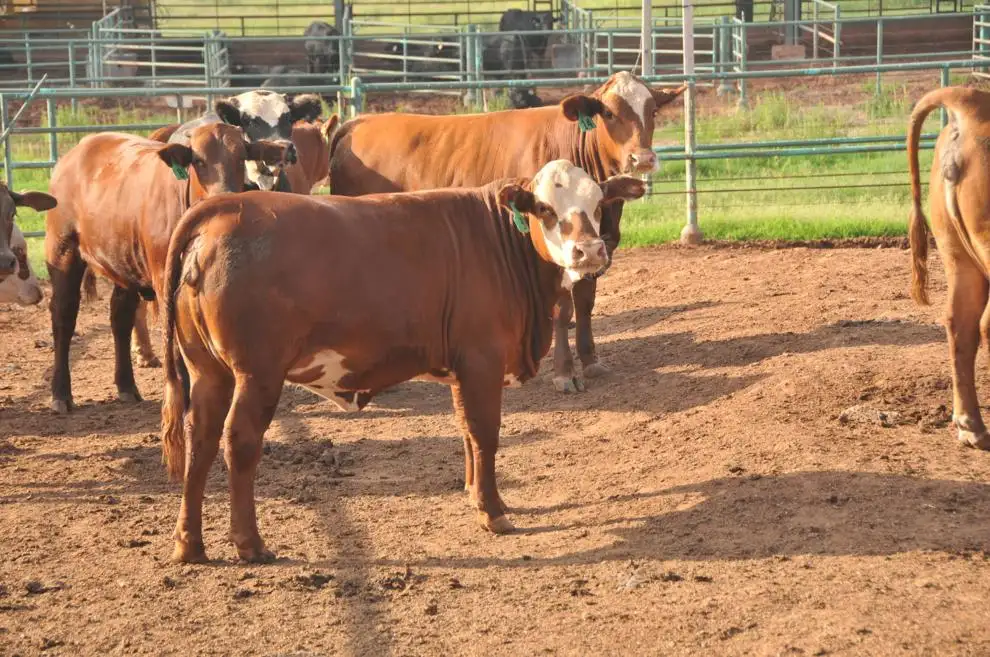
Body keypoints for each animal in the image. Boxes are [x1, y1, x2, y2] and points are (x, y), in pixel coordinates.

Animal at [45, 122, 295, 414]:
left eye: (241, 157)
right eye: (199, 160)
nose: (225, 196)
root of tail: (77, 150)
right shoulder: (164, 276)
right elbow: (175, 342)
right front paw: (184, 396)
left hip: (123, 261)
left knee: (120, 317)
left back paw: (126, 385)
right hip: (63, 251)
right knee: (63, 316)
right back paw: (61, 393)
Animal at [158, 159, 646, 563]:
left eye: (598, 203)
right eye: (545, 208)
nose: (590, 251)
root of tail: (224, 207)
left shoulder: (461, 368)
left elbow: (465, 431)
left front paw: (474, 493)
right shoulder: (482, 360)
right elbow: (484, 433)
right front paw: (493, 511)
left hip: (208, 372)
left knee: (200, 442)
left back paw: (190, 544)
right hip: (257, 374)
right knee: (239, 442)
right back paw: (250, 544)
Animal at [328, 71, 687, 393]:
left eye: (653, 111)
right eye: (609, 113)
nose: (642, 159)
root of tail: (357, 123)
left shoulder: (598, 246)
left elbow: (585, 302)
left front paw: (591, 361)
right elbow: (563, 311)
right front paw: (564, 373)